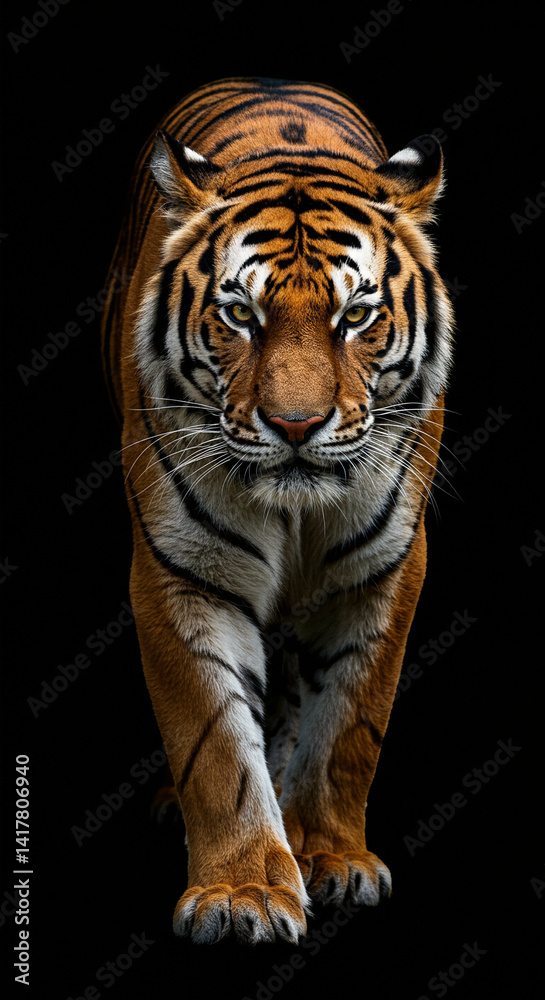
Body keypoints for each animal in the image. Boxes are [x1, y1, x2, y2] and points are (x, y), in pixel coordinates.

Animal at [100, 76, 454, 945]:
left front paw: (329, 856)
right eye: (239, 315)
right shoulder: (179, 572)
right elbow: (214, 741)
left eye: (354, 317)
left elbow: (346, 729)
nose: (296, 426)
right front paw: (243, 894)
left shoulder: (385, 570)